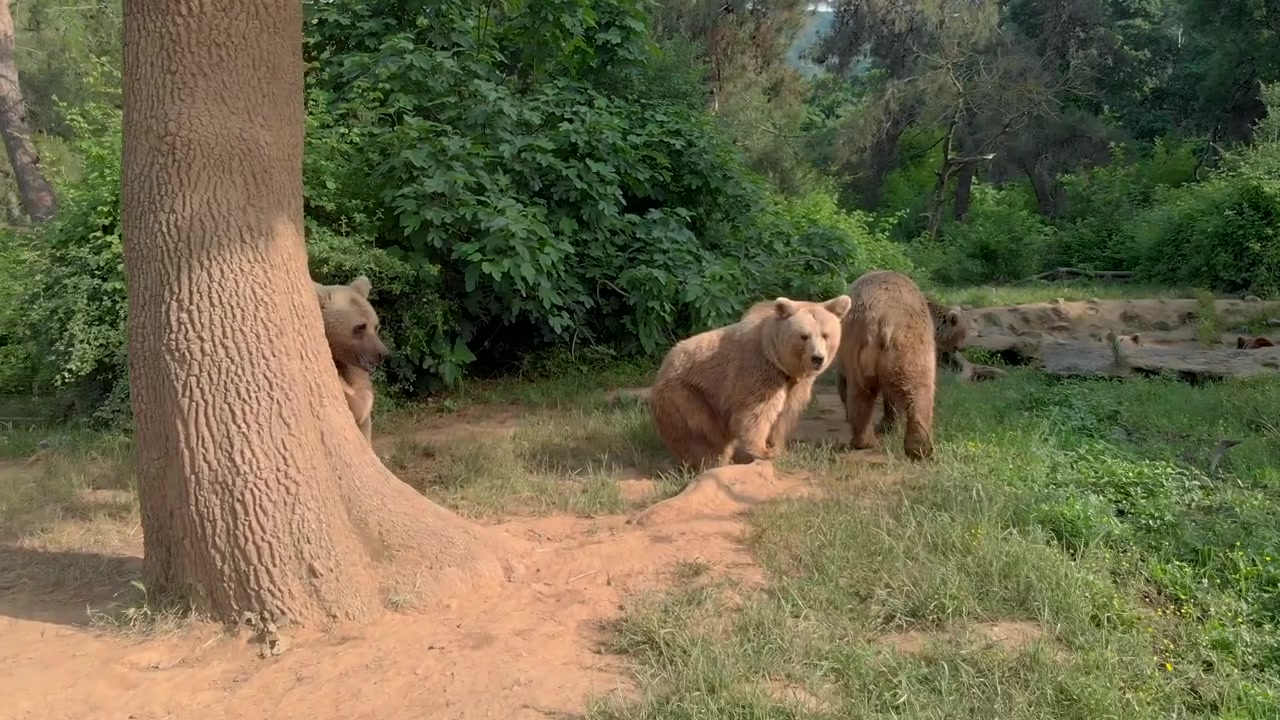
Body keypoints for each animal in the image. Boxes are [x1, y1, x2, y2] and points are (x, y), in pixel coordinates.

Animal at [648, 294, 852, 471]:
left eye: (825, 335)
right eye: (804, 336)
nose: (817, 358)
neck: (781, 364)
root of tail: (662, 368)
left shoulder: (796, 386)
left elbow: (786, 414)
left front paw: (780, 448)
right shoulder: (758, 371)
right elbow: (756, 412)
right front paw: (764, 451)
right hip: (688, 394)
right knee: (702, 432)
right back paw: (711, 461)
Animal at [834, 270, 937, 460]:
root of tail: (886, 318)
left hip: (862, 346)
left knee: (861, 392)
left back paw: (865, 441)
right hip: (912, 345)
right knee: (920, 389)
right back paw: (919, 449)